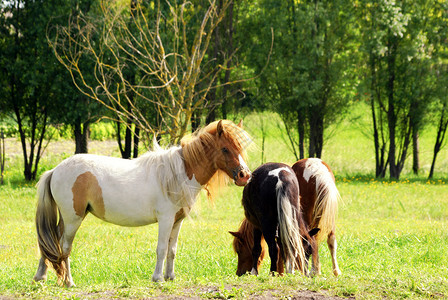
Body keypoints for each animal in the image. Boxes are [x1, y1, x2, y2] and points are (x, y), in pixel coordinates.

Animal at [32, 119, 252, 286]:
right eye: (225, 149)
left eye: (240, 147)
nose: (245, 176)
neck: (178, 174)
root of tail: (55, 170)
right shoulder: (165, 219)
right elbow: (162, 248)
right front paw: (158, 278)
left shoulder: (177, 221)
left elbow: (172, 250)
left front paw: (170, 276)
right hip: (73, 220)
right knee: (64, 247)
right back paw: (69, 282)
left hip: (67, 219)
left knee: (50, 242)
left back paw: (40, 277)